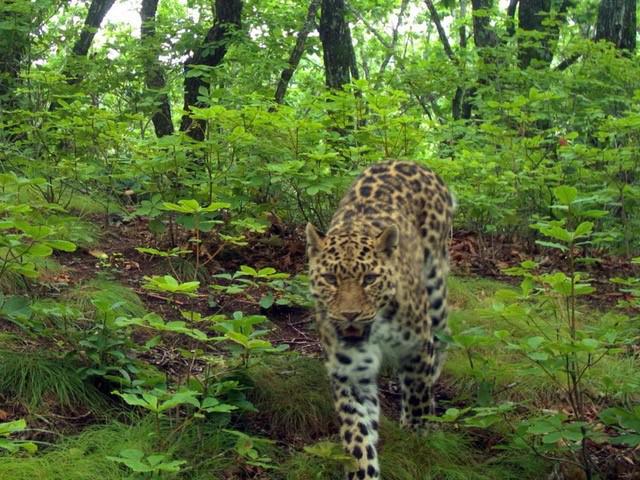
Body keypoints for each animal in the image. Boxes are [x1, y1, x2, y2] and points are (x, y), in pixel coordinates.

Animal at [305, 161, 454, 480]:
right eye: (331, 279)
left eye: (370, 279)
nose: (350, 314)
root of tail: (410, 162)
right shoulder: (350, 371)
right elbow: (357, 434)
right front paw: (363, 470)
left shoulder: (416, 349)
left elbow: (418, 398)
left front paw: (417, 437)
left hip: (435, 284)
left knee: (443, 333)